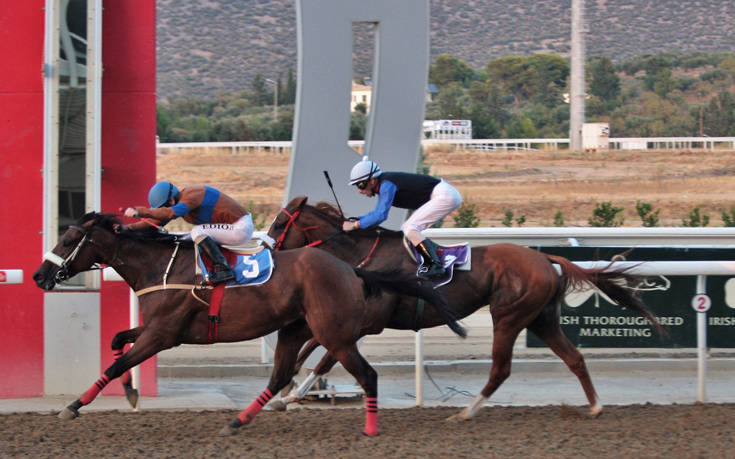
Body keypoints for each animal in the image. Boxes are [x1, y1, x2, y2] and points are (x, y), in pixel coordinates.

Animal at [33, 214, 466, 436]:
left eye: (68, 238)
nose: (40, 276)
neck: (160, 267)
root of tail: (351, 269)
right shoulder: (158, 330)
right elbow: (117, 342)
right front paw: (130, 393)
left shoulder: (162, 334)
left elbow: (117, 362)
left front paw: (73, 406)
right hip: (294, 329)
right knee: (279, 376)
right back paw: (237, 421)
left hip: (334, 334)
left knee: (368, 375)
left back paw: (371, 430)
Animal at [266, 198, 668, 420]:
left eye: (279, 223)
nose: (267, 252)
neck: (362, 255)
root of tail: (545, 258)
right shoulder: (349, 320)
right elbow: (312, 348)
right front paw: (286, 392)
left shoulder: (367, 323)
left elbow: (324, 355)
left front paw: (290, 394)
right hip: (541, 319)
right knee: (575, 358)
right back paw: (596, 406)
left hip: (508, 316)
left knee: (501, 368)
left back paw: (466, 411)